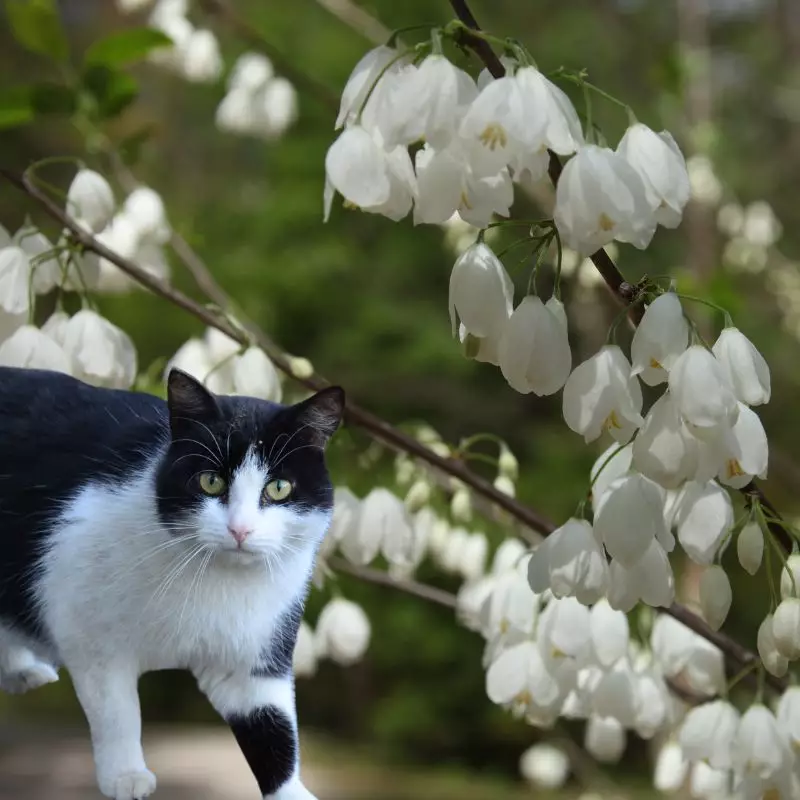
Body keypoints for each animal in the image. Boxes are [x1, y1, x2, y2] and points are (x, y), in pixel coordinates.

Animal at [0, 368, 342, 800]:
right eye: (210, 482)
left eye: (279, 488)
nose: (240, 530)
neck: (217, 581)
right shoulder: (91, 638)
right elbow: (117, 712)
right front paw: (126, 775)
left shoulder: (254, 656)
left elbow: (274, 730)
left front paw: (291, 791)